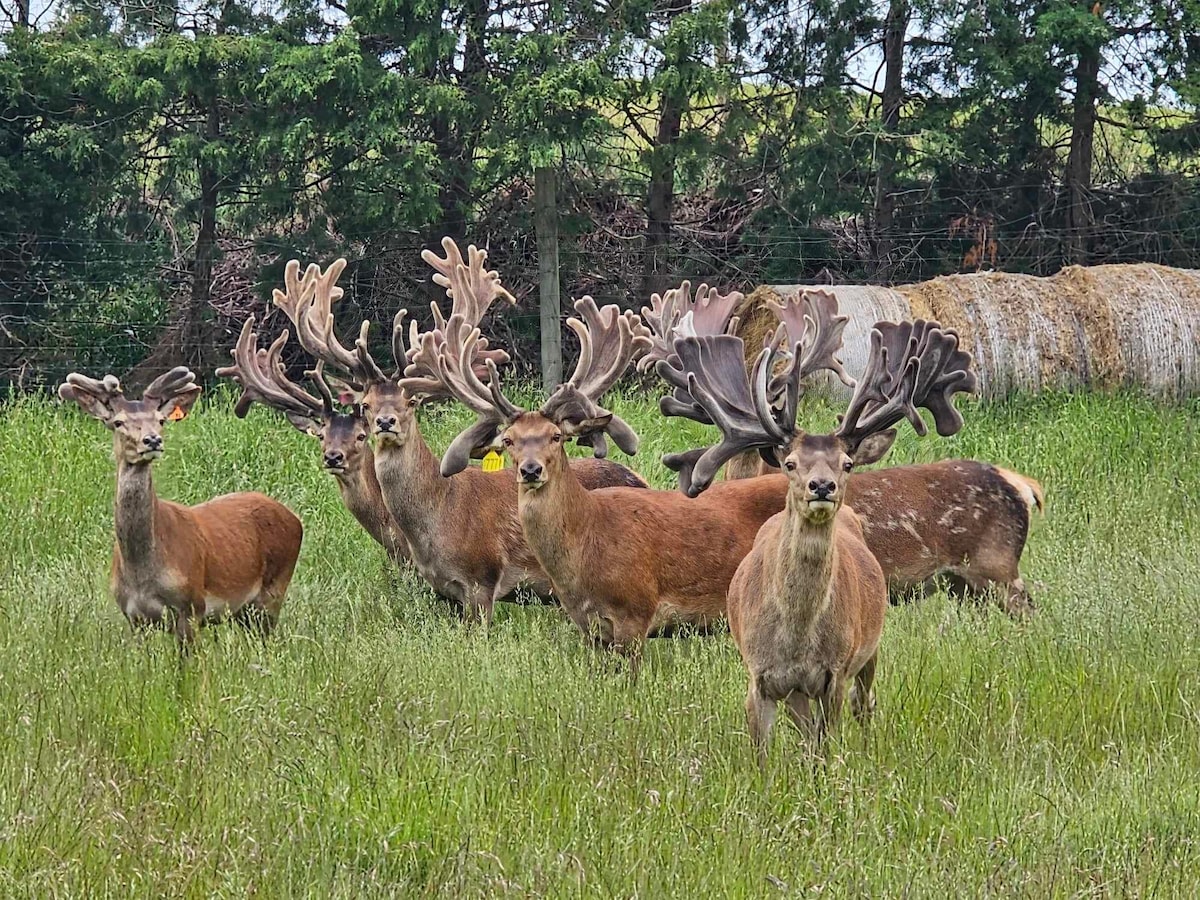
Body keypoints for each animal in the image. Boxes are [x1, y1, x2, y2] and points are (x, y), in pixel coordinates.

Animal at [60, 367, 304, 648]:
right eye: (118, 422)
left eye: (161, 421)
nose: (152, 440)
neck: (143, 573)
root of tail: (295, 519)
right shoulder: (133, 616)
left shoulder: (191, 605)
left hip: (274, 589)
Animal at [681, 319, 979, 763]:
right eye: (790, 463)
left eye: (847, 463)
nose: (822, 485)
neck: (796, 636)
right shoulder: (757, 674)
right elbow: (762, 753)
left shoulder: (833, 672)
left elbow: (825, 745)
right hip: (797, 689)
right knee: (807, 724)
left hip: (869, 647)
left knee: (864, 703)